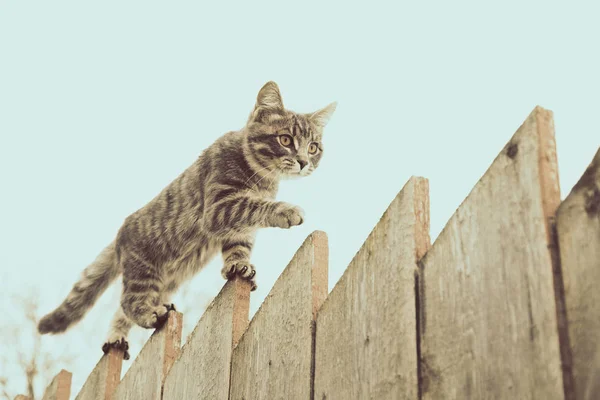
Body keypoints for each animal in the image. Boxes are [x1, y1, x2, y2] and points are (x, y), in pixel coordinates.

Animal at [37, 82, 338, 360]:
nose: (303, 161)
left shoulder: (237, 228)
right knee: (129, 302)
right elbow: (252, 205)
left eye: (313, 147)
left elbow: (238, 246)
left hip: (168, 280)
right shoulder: (219, 208)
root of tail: (121, 232)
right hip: (144, 269)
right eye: (285, 140)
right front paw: (286, 210)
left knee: (122, 311)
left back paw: (117, 338)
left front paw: (238, 265)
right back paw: (150, 315)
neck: (261, 177)